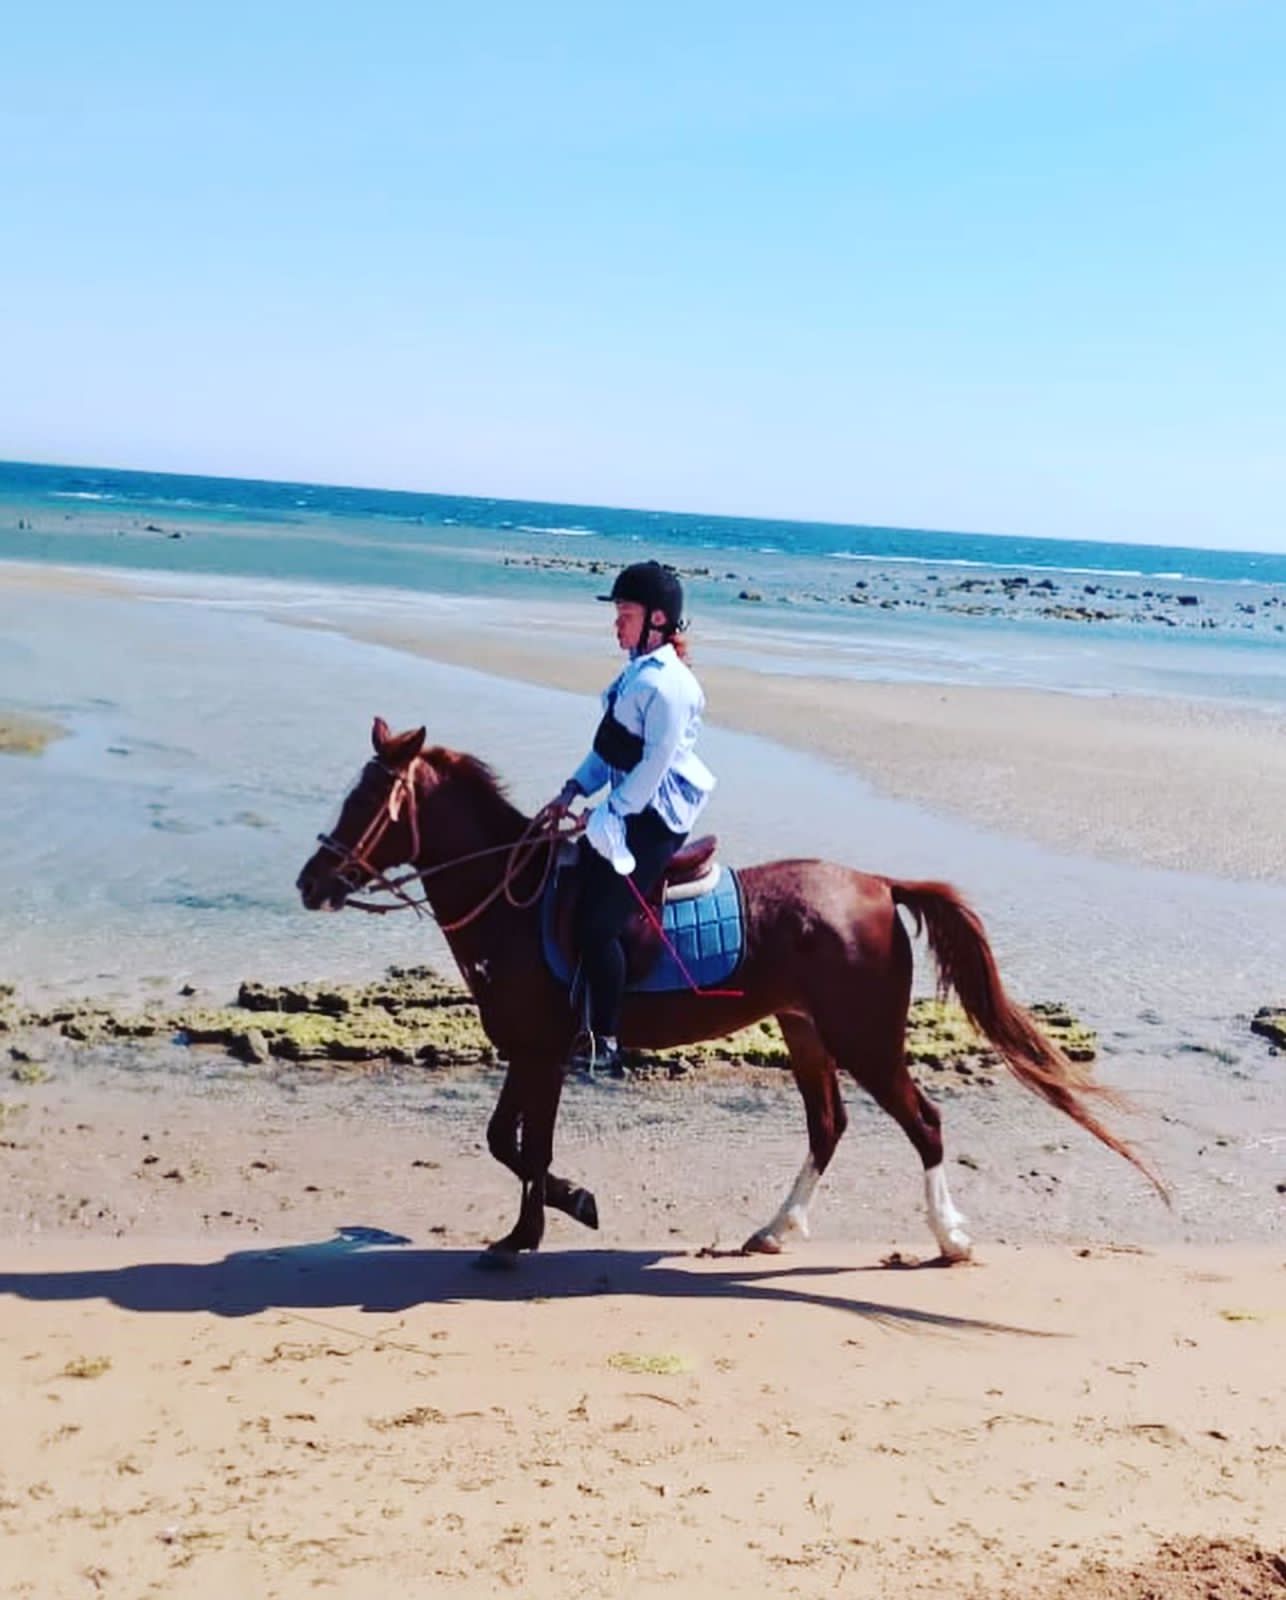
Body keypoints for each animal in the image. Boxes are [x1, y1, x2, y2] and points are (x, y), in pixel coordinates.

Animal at [296, 718, 1161, 1264]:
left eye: (369, 803)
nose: (310, 883)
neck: (515, 898)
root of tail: (879, 884)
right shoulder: (526, 1051)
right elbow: (508, 1143)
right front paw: (537, 1227)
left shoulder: (543, 1052)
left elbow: (524, 1147)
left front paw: (549, 1221)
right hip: (806, 1031)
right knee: (828, 1126)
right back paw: (773, 1231)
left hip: (865, 1039)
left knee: (924, 1123)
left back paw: (948, 1240)